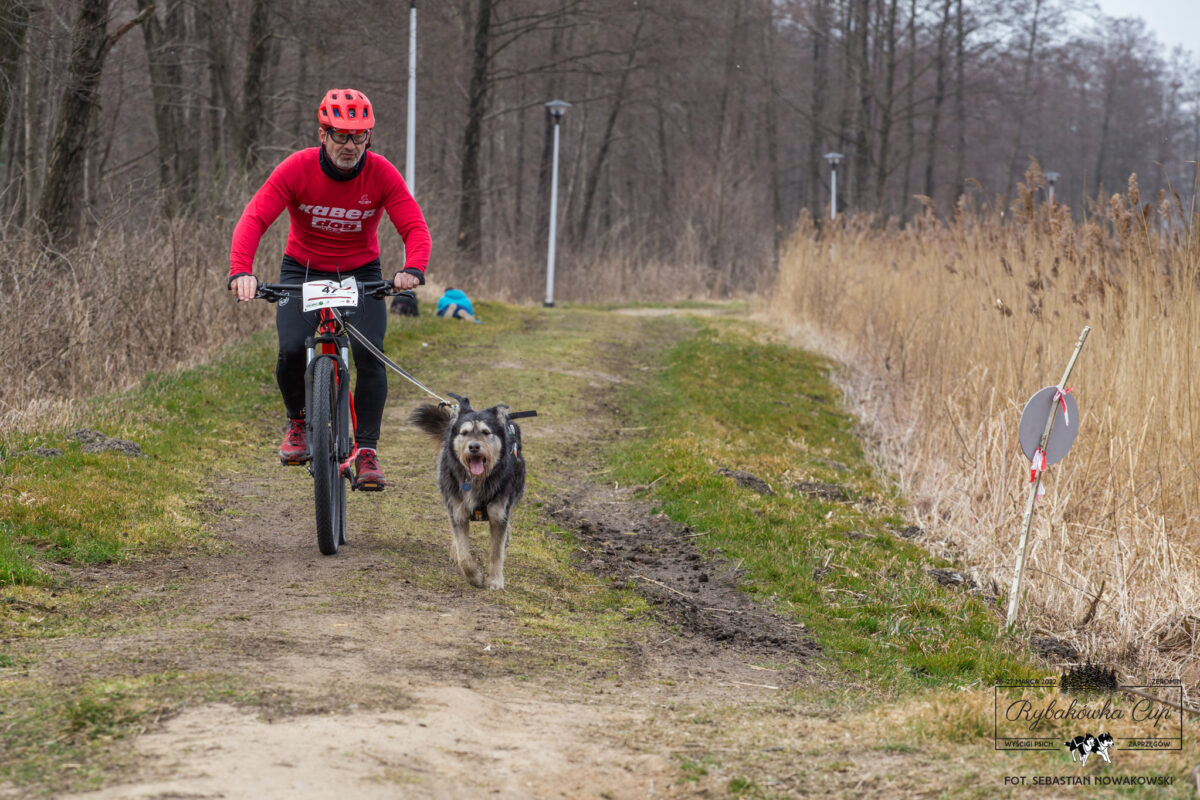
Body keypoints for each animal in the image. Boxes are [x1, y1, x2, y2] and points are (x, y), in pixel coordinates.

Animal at [410, 398, 528, 592]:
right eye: (464, 433)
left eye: (486, 432)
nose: (473, 446)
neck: (476, 480)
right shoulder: (457, 511)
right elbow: (463, 554)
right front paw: (475, 577)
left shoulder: (499, 513)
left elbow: (496, 552)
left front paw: (495, 581)